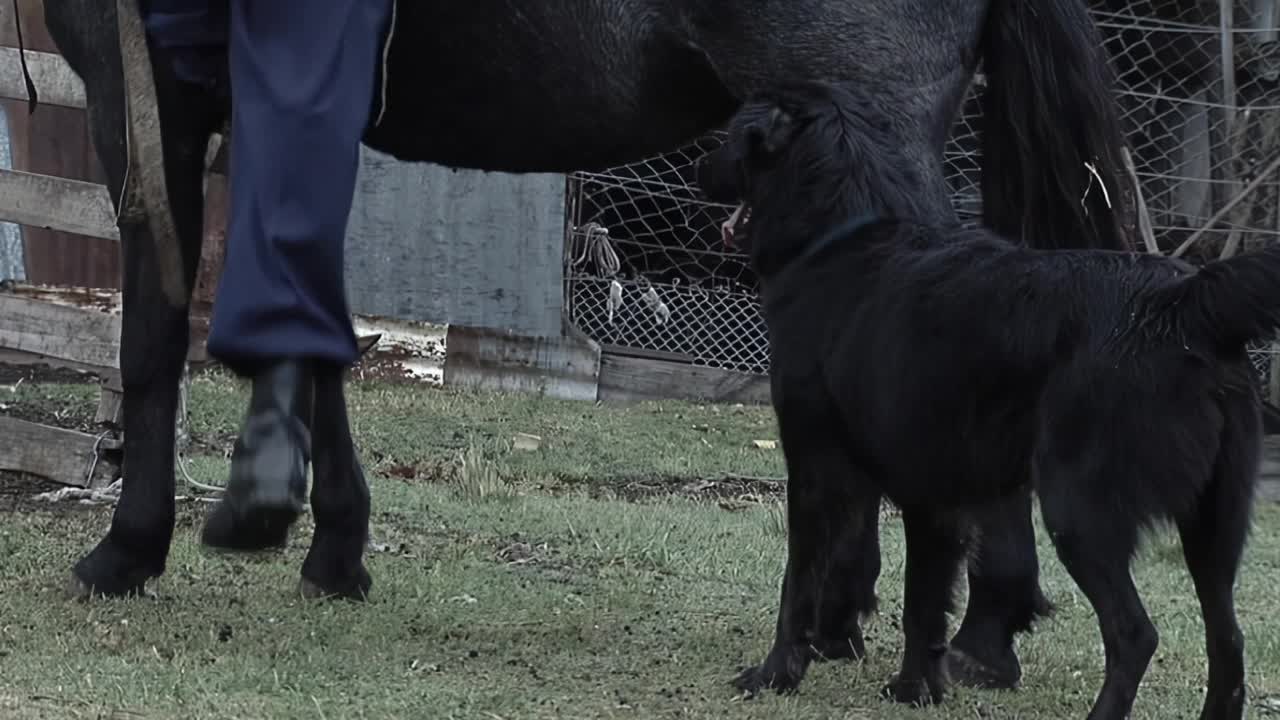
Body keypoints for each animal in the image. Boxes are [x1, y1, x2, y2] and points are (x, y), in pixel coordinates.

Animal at [40, 0, 1136, 691]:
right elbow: (314, 328)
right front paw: (336, 546)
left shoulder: (145, 95)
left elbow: (154, 335)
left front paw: (129, 546)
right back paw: (869, 618)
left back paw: (971, 629)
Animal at [701, 79, 1269, 717]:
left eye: (731, 135)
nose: (697, 167)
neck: (841, 240)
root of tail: (1186, 301)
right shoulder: (932, 496)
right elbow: (923, 605)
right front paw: (916, 690)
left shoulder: (816, 470)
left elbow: (798, 585)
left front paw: (776, 674)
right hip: (1214, 527)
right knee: (1229, 638)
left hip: (1080, 510)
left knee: (1135, 634)